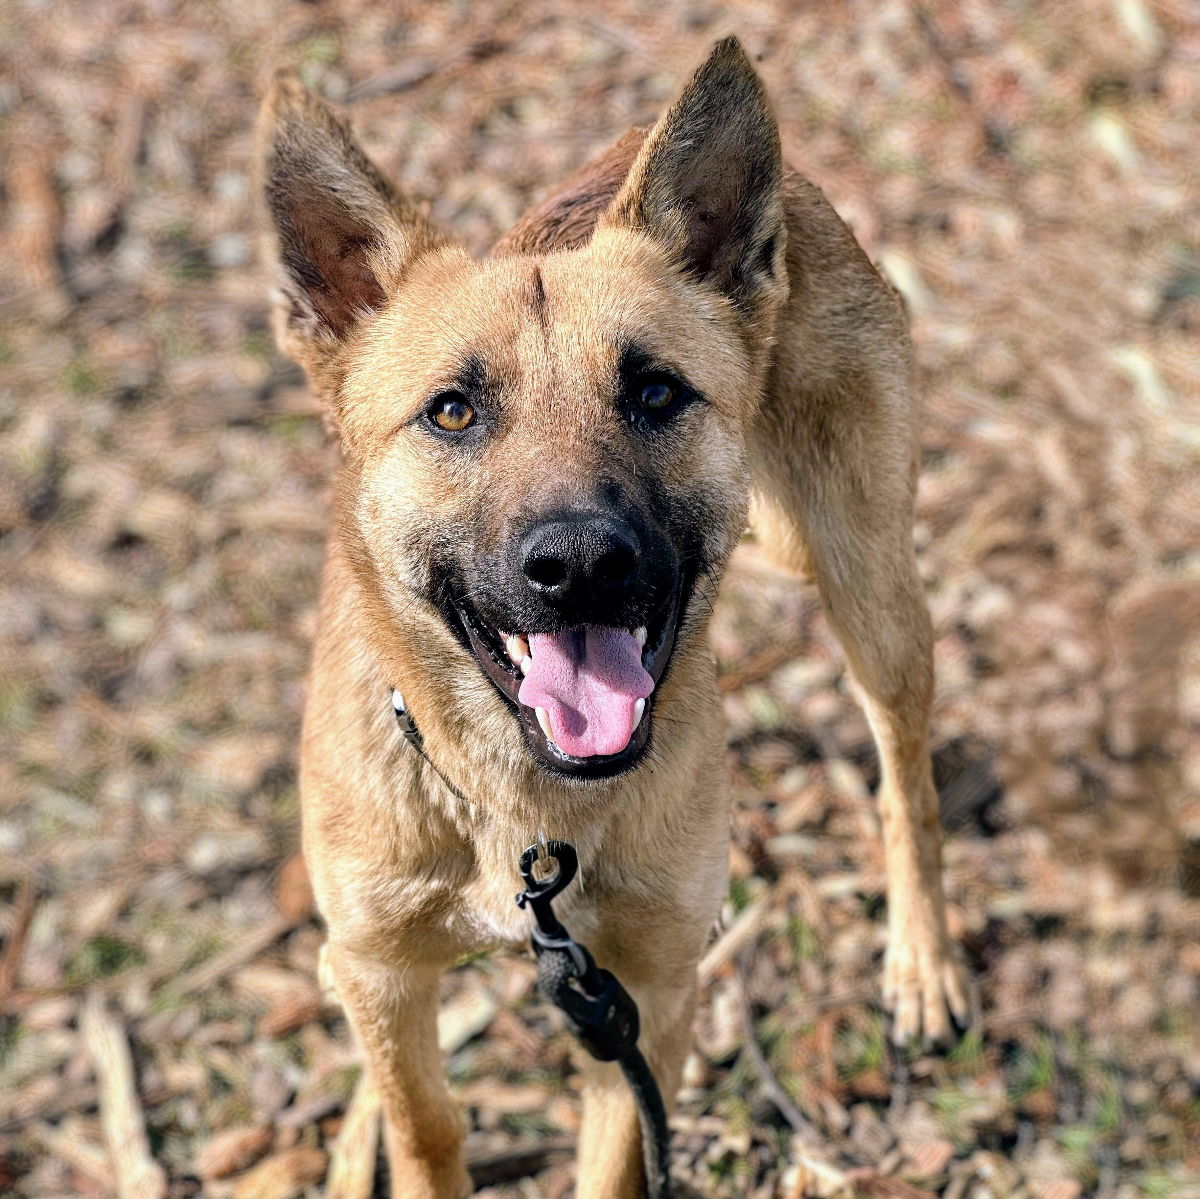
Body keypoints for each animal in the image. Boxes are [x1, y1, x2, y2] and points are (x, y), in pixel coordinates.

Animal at [260, 37, 964, 1199]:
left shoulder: (653, 986)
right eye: (453, 410)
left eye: (656, 392)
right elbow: (427, 1124)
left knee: (905, 774)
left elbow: (620, 1155)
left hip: (872, 595)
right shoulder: (388, 968)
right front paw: (394, 1129)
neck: (523, 807)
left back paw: (925, 958)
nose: (580, 565)